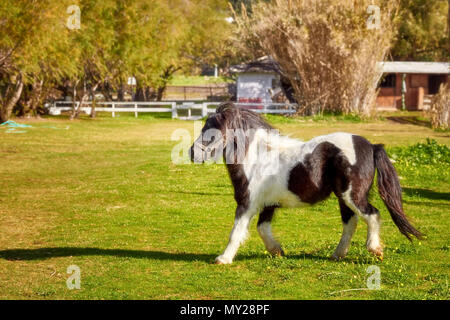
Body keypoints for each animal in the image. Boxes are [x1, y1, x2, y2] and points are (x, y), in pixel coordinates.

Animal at [189, 103, 422, 264]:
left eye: (212, 132)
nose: (193, 154)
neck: (258, 158)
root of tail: (372, 146)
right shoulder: (268, 205)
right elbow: (262, 229)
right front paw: (277, 250)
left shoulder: (247, 204)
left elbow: (236, 231)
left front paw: (223, 259)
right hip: (343, 197)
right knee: (351, 222)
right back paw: (337, 255)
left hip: (352, 196)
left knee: (372, 215)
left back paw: (374, 249)